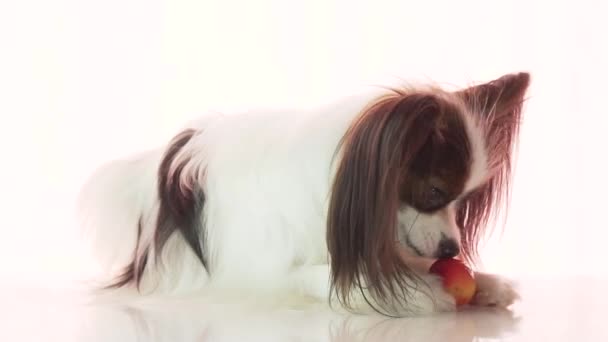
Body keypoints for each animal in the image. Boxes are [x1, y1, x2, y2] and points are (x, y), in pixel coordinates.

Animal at [79, 71, 528, 316]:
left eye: (464, 200)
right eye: (434, 192)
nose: (453, 249)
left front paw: (486, 282)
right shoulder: (266, 273)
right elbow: (323, 275)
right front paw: (419, 291)